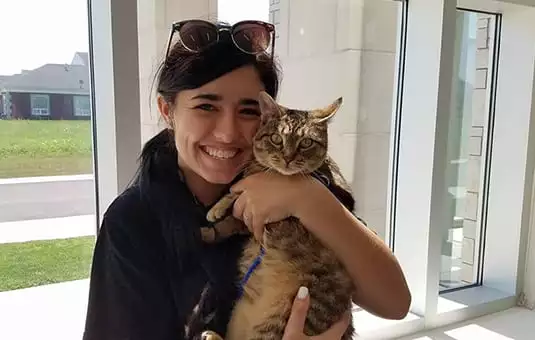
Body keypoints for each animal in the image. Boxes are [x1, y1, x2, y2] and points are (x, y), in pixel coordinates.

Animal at [195, 91, 354, 340]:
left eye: (306, 143)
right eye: (277, 139)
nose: (288, 158)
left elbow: (235, 196)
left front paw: (215, 213)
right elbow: (231, 207)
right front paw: (210, 223)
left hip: (278, 323)